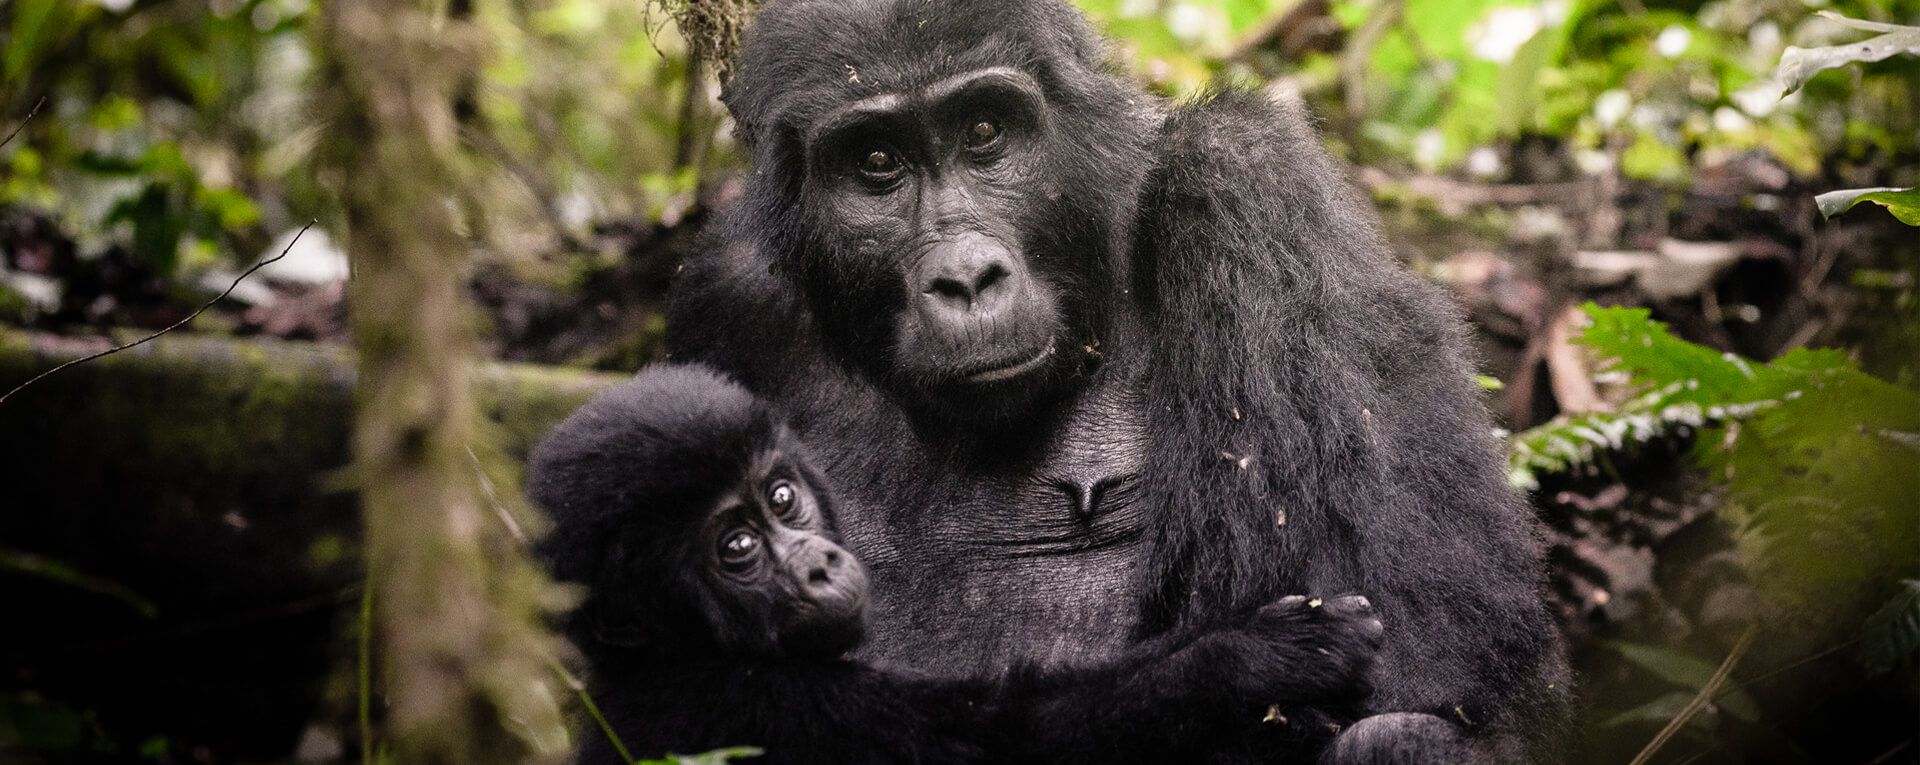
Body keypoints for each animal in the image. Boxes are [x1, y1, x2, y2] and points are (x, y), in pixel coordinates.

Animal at [533, 365, 1390, 765]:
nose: (819, 565)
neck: (666, 655)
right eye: (736, 549)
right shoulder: (752, 704)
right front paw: (1254, 657)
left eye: (782, 498)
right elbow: (1014, 732)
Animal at [668, 0, 1566, 757]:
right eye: (877, 162)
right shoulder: (723, 305)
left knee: (1397, 734)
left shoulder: (1250, 180)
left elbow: (1428, 653)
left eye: (985, 130)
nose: (966, 278)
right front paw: (1231, 664)